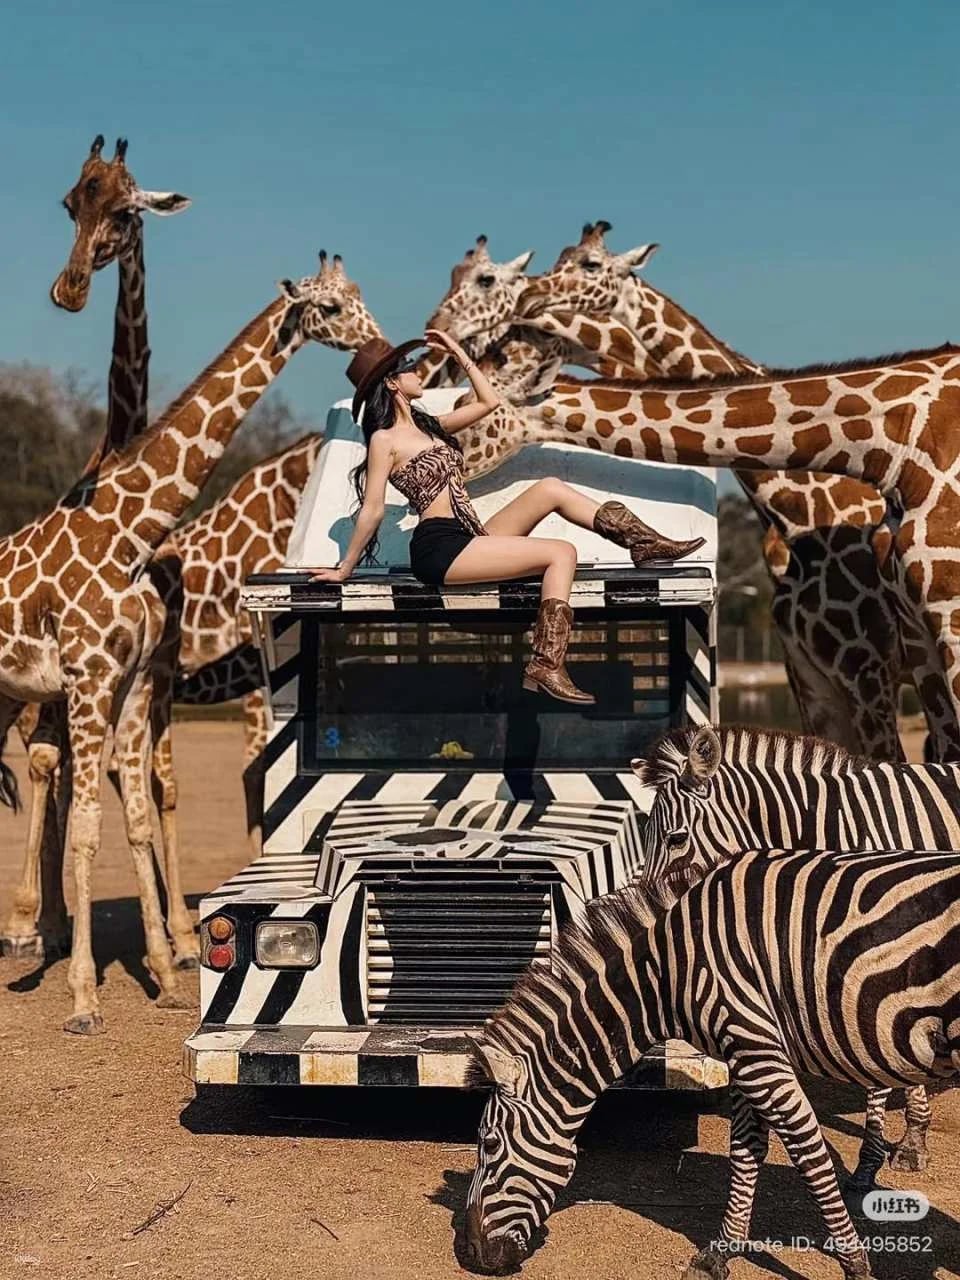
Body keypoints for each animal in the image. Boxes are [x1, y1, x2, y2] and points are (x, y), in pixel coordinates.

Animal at [0, 256, 375, 1034]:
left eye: (358, 296)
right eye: (330, 306)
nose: (382, 339)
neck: (125, 533)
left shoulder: (132, 680)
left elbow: (141, 814)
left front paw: (167, 973)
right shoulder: (96, 677)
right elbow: (99, 823)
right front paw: (85, 998)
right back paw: (33, 932)